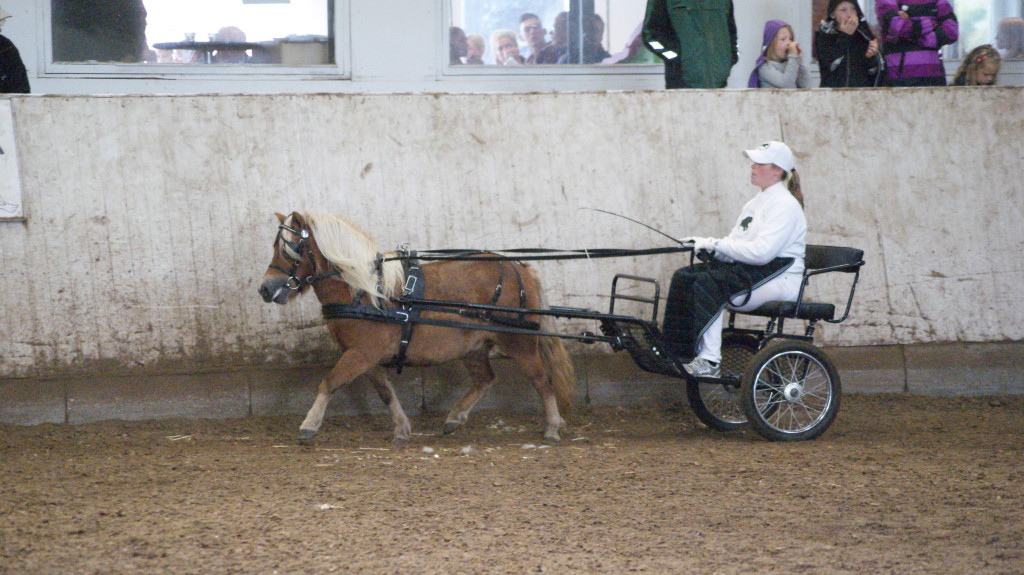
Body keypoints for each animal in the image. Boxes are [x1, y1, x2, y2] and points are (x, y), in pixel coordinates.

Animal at [258, 212, 577, 439]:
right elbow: (385, 392)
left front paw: (308, 425)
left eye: (289, 249)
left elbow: (330, 382)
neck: (363, 290)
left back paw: (552, 426)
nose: (265, 288)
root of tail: (521, 268)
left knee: (542, 380)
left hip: (519, 342)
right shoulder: (365, 356)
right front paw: (402, 428)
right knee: (485, 379)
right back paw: (455, 418)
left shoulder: (360, 354)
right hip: (474, 346)